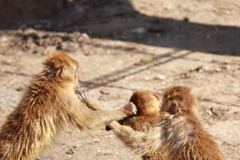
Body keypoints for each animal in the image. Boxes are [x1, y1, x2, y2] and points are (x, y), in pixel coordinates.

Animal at [0, 51, 137, 160]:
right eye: (75, 72)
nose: (77, 78)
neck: (53, 81)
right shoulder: (65, 97)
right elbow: (87, 121)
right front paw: (125, 109)